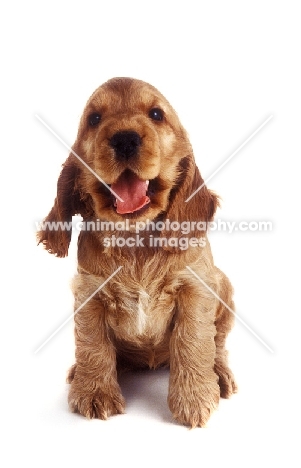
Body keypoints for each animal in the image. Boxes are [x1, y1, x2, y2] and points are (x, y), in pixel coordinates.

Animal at [37, 77, 236, 428]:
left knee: (219, 343)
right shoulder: (89, 293)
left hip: (224, 288)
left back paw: (220, 374)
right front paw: (94, 392)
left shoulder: (196, 288)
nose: (125, 139)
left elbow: (194, 339)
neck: (137, 241)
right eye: (94, 119)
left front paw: (195, 398)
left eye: (156, 114)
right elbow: (91, 342)